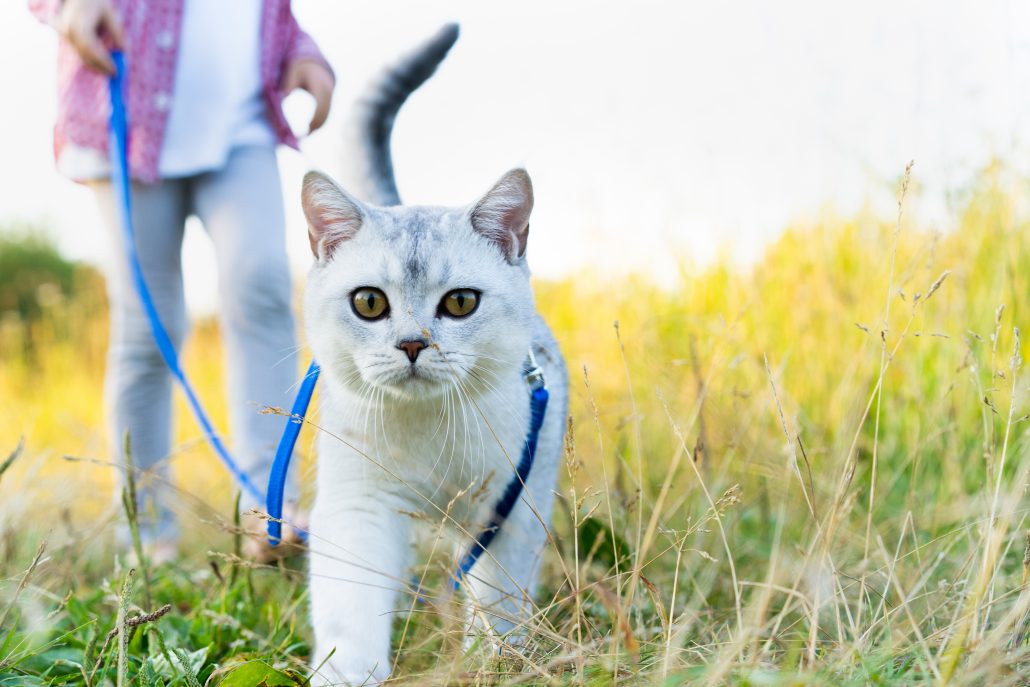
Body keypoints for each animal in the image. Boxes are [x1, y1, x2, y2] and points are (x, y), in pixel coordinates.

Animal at [298, 24, 572, 683]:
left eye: (461, 303)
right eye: (369, 303)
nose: (414, 344)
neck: (429, 432)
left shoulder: (511, 512)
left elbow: (498, 603)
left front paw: (494, 660)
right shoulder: (359, 510)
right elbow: (350, 617)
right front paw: (348, 674)